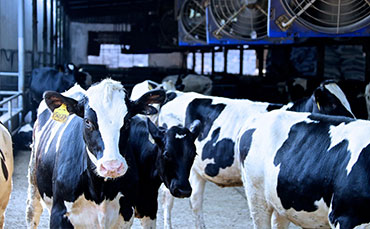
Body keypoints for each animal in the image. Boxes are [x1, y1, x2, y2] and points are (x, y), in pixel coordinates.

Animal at [26, 79, 165, 228]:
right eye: (87, 121)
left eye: (127, 120)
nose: (112, 166)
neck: (100, 192)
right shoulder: (59, 213)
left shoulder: (127, 213)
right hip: (33, 182)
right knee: (32, 213)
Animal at [160, 81, 356, 228]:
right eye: (332, 104)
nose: (354, 120)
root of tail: (174, 93)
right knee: (168, 198)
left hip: (196, 170)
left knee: (195, 201)